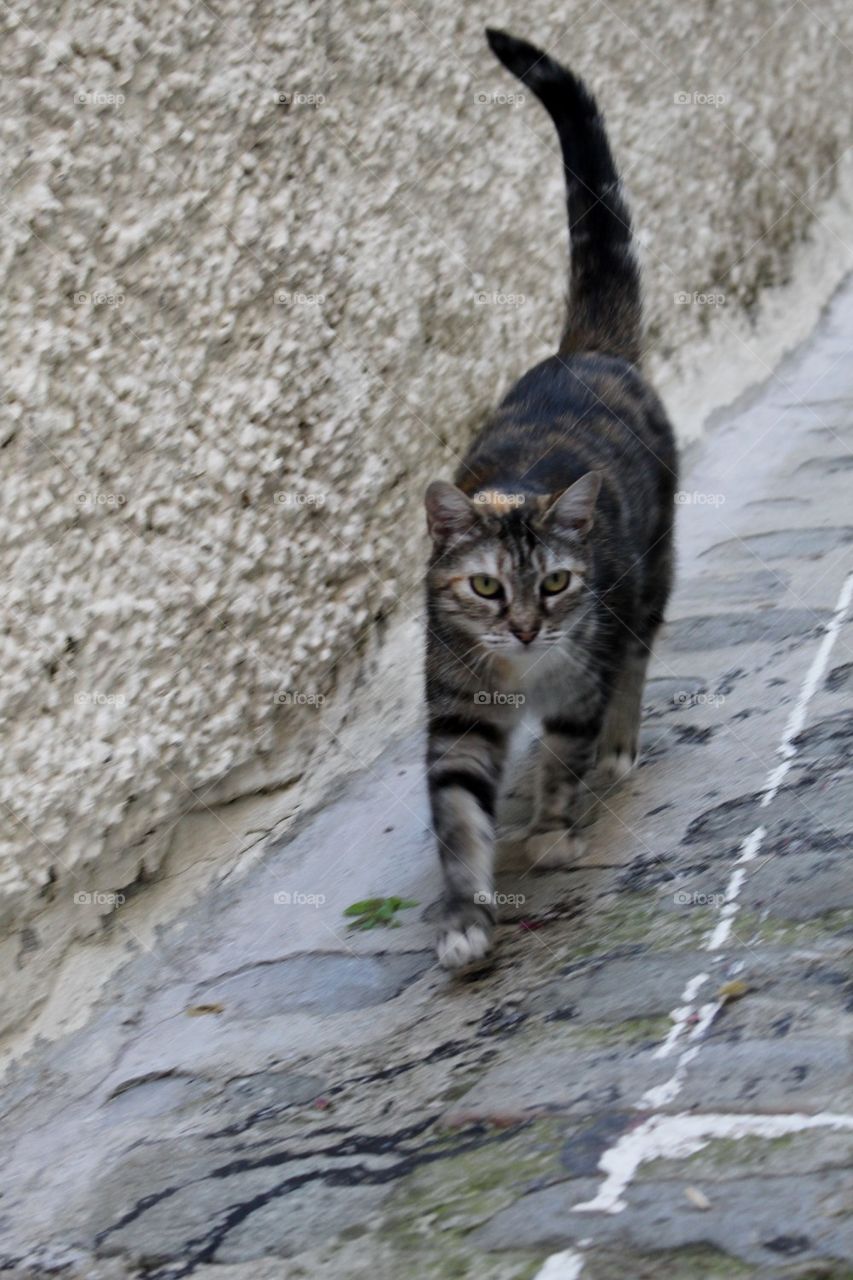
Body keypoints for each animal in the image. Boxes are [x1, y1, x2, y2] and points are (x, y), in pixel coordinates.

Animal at [422, 27, 676, 967]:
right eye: (486, 586)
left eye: (557, 583)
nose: (528, 627)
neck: (521, 676)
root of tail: (586, 352)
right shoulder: (456, 711)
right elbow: (457, 814)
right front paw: (465, 917)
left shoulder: (576, 678)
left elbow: (566, 746)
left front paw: (557, 829)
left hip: (650, 574)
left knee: (635, 654)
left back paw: (615, 748)